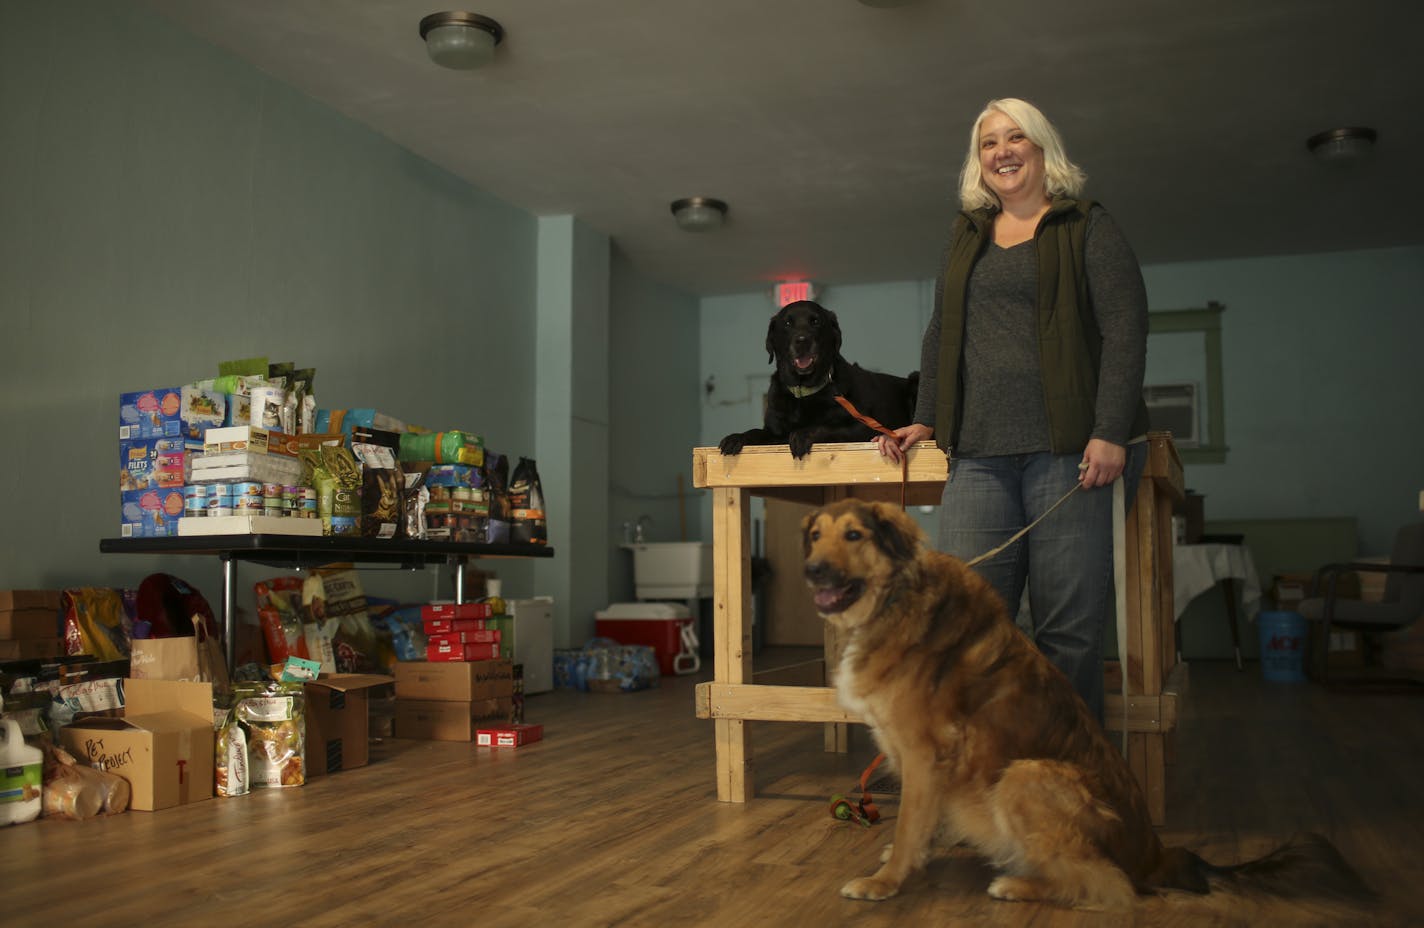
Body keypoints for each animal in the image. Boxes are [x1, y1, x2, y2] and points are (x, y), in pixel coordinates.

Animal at [717, 300, 917, 461]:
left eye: (816, 322)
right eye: (787, 323)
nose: (802, 340)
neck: (802, 392)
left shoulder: (864, 426)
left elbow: (826, 427)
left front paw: (801, 435)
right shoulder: (773, 431)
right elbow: (756, 432)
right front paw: (736, 437)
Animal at [803, 501, 1367, 910]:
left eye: (854, 536)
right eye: (815, 535)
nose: (811, 570)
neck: (895, 599)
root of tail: (1154, 855)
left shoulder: (924, 753)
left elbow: (908, 822)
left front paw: (886, 880)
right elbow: (921, 821)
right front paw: (917, 853)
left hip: (1025, 776)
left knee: (1108, 884)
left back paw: (1019, 885)